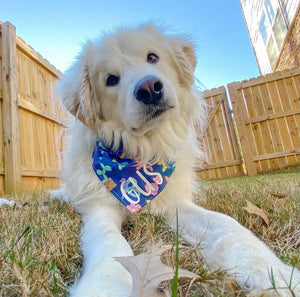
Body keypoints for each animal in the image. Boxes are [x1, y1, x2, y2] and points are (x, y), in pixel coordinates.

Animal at [56, 24, 300, 294]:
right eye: (111, 79)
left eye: (152, 57)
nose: (149, 88)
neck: (142, 155)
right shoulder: (99, 209)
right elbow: (112, 245)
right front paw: (106, 286)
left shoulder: (175, 203)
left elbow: (227, 225)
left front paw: (275, 273)